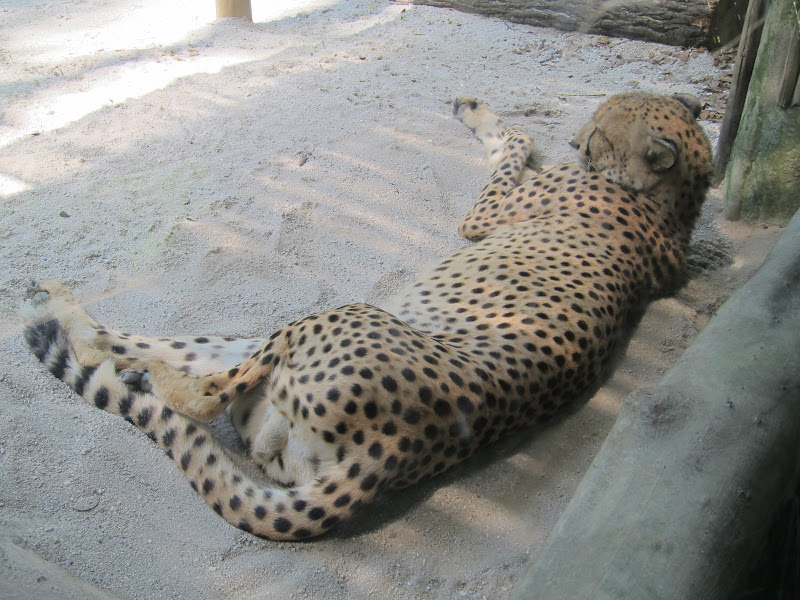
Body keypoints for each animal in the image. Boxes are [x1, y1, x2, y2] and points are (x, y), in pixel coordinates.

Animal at [23, 92, 712, 540]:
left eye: (599, 133)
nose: (576, 140)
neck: (673, 206)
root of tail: (398, 448)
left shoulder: (484, 215)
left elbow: (515, 145)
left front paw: (488, 121)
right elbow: (514, 140)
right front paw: (475, 112)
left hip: (331, 319)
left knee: (198, 394)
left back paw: (125, 365)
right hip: (267, 359)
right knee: (134, 348)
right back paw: (59, 311)